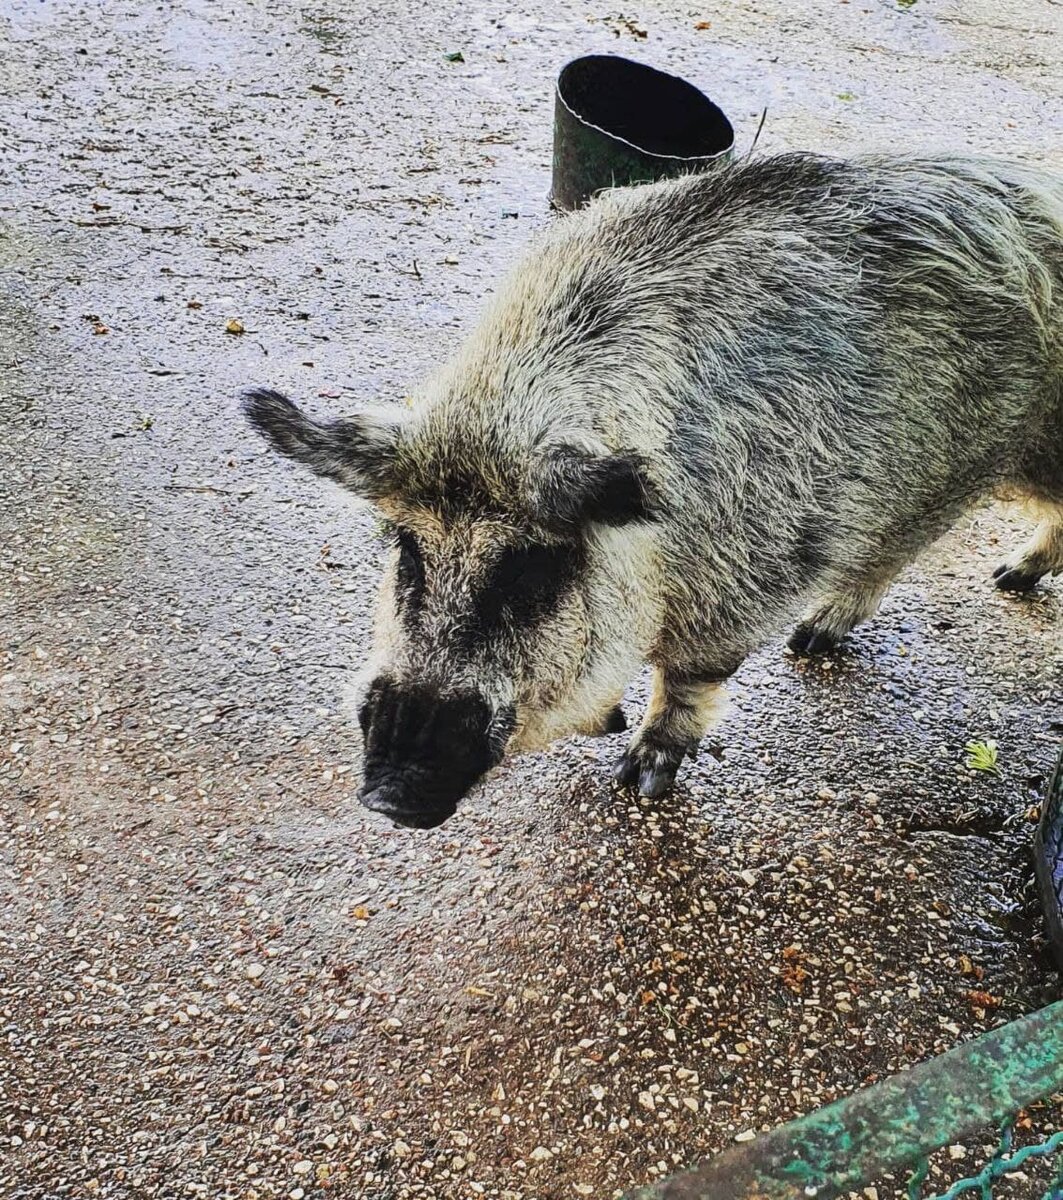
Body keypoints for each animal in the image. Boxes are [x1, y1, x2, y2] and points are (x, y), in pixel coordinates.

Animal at [243, 152, 1063, 825]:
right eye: (408, 553)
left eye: (532, 570)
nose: (387, 797)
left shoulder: (756, 568)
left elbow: (689, 678)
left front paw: (637, 778)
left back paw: (945, 597)